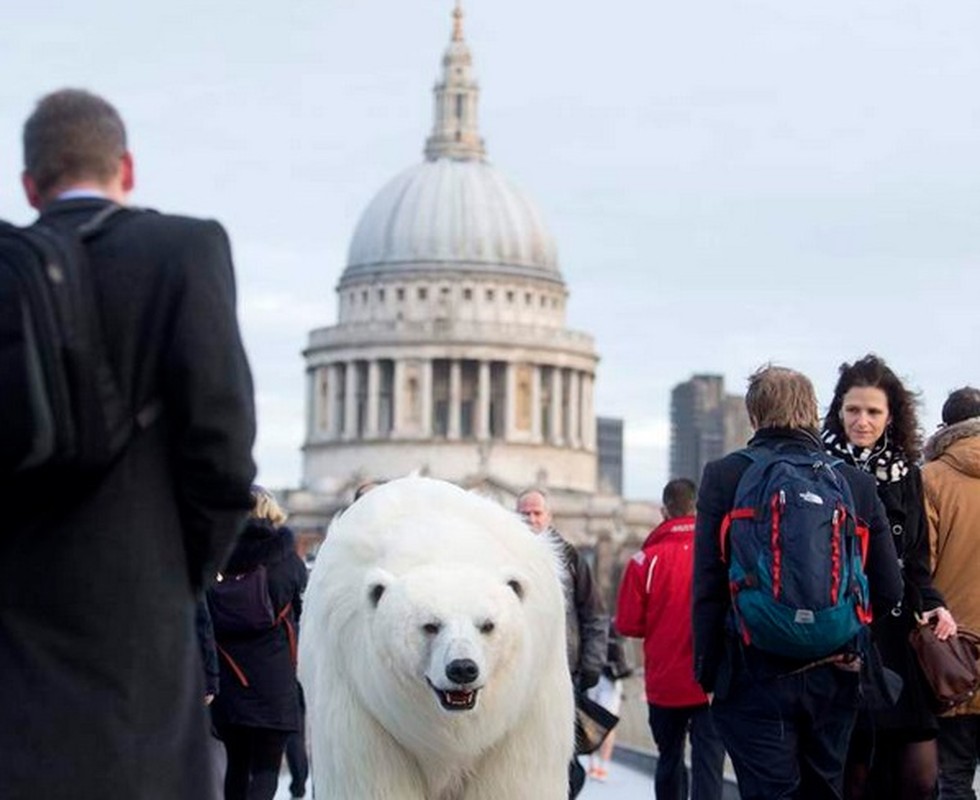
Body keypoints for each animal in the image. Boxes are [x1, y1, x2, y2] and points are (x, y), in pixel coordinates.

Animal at [298, 478, 576, 796]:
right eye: (430, 625)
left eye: (487, 625)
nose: (462, 669)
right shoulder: (358, 696)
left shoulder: (528, 700)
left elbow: (516, 779)